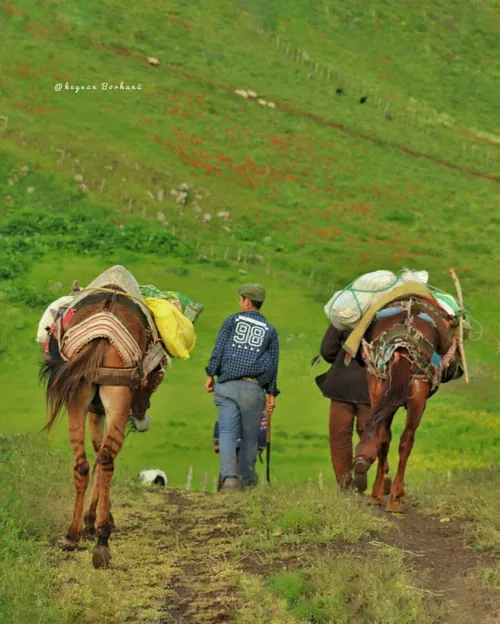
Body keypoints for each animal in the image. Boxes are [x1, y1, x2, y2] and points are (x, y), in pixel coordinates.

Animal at [40, 286, 165, 568]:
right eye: (156, 378)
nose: (142, 419)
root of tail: (102, 338)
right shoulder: (99, 411)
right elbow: (101, 454)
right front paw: (95, 523)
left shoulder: (92, 410)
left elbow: (95, 455)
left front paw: (89, 523)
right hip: (116, 401)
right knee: (106, 460)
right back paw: (101, 539)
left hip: (78, 401)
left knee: (83, 465)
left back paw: (73, 535)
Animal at [350, 298, 458, 512]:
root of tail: (402, 345)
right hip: (416, 394)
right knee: (405, 440)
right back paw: (394, 496)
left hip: (380, 387)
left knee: (384, 437)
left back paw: (379, 494)